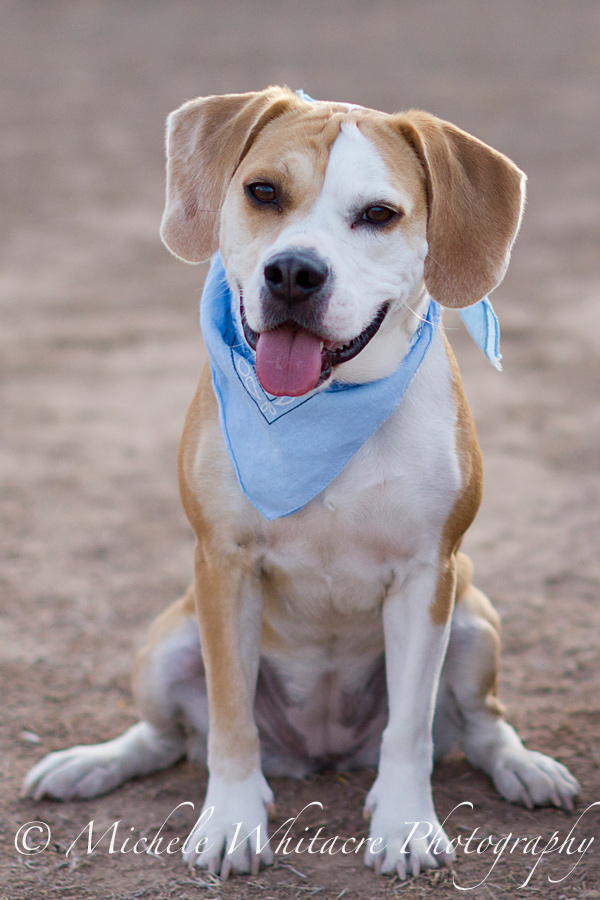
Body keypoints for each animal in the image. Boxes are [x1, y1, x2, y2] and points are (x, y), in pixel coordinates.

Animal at [22, 87, 579, 879]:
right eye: (264, 192)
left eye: (378, 213)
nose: (292, 273)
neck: (324, 406)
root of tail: (321, 756)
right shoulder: (223, 563)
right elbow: (229, 721)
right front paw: (231, 820)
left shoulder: (427, 575)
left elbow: (409, 730)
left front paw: (406, 824)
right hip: (167, 644)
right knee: (164, 737)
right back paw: (88, 764)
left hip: (474, 621)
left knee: (481, 726)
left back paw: (525, 769)